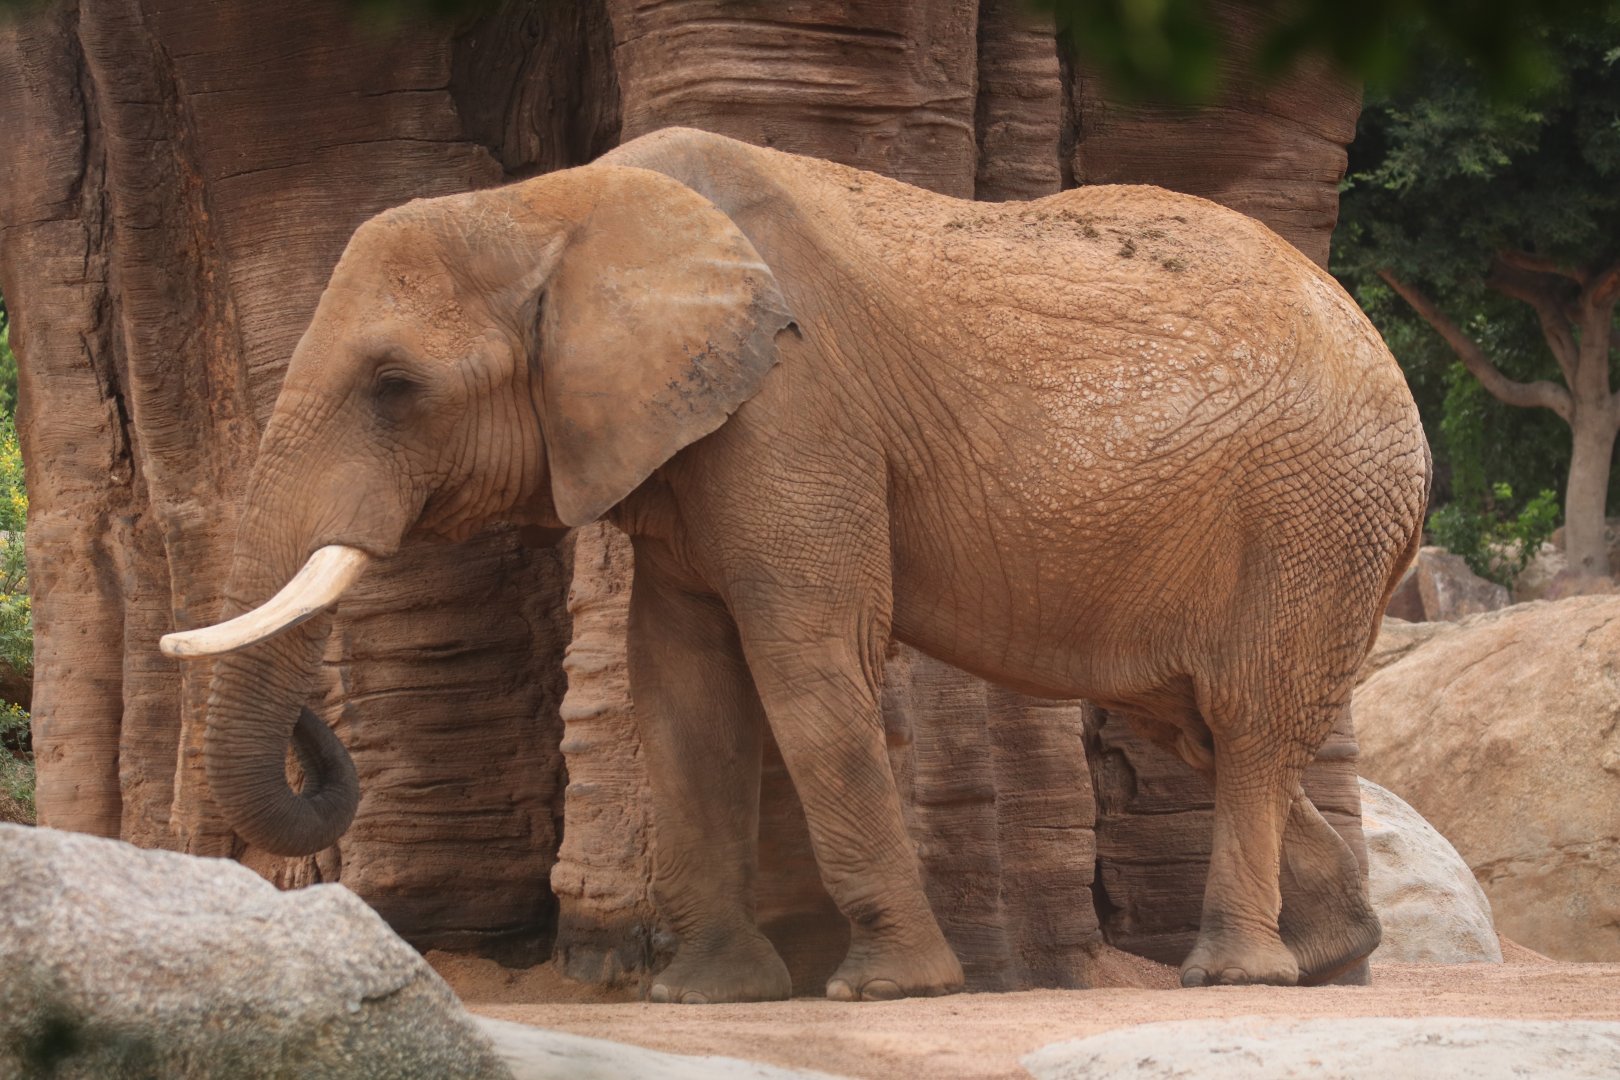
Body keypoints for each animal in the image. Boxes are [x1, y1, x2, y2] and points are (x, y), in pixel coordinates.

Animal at [162, 126, 1431, 1002]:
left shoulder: (796, 410)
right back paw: (1333, 955)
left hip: (1311, 515)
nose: (316, 732)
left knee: (1249, 722)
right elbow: (682, 686)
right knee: (1206, 728)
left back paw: (1237, 975)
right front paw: (701, 997)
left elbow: (807, 668)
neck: (557, 204)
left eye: (395, 386)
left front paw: (891, 991)